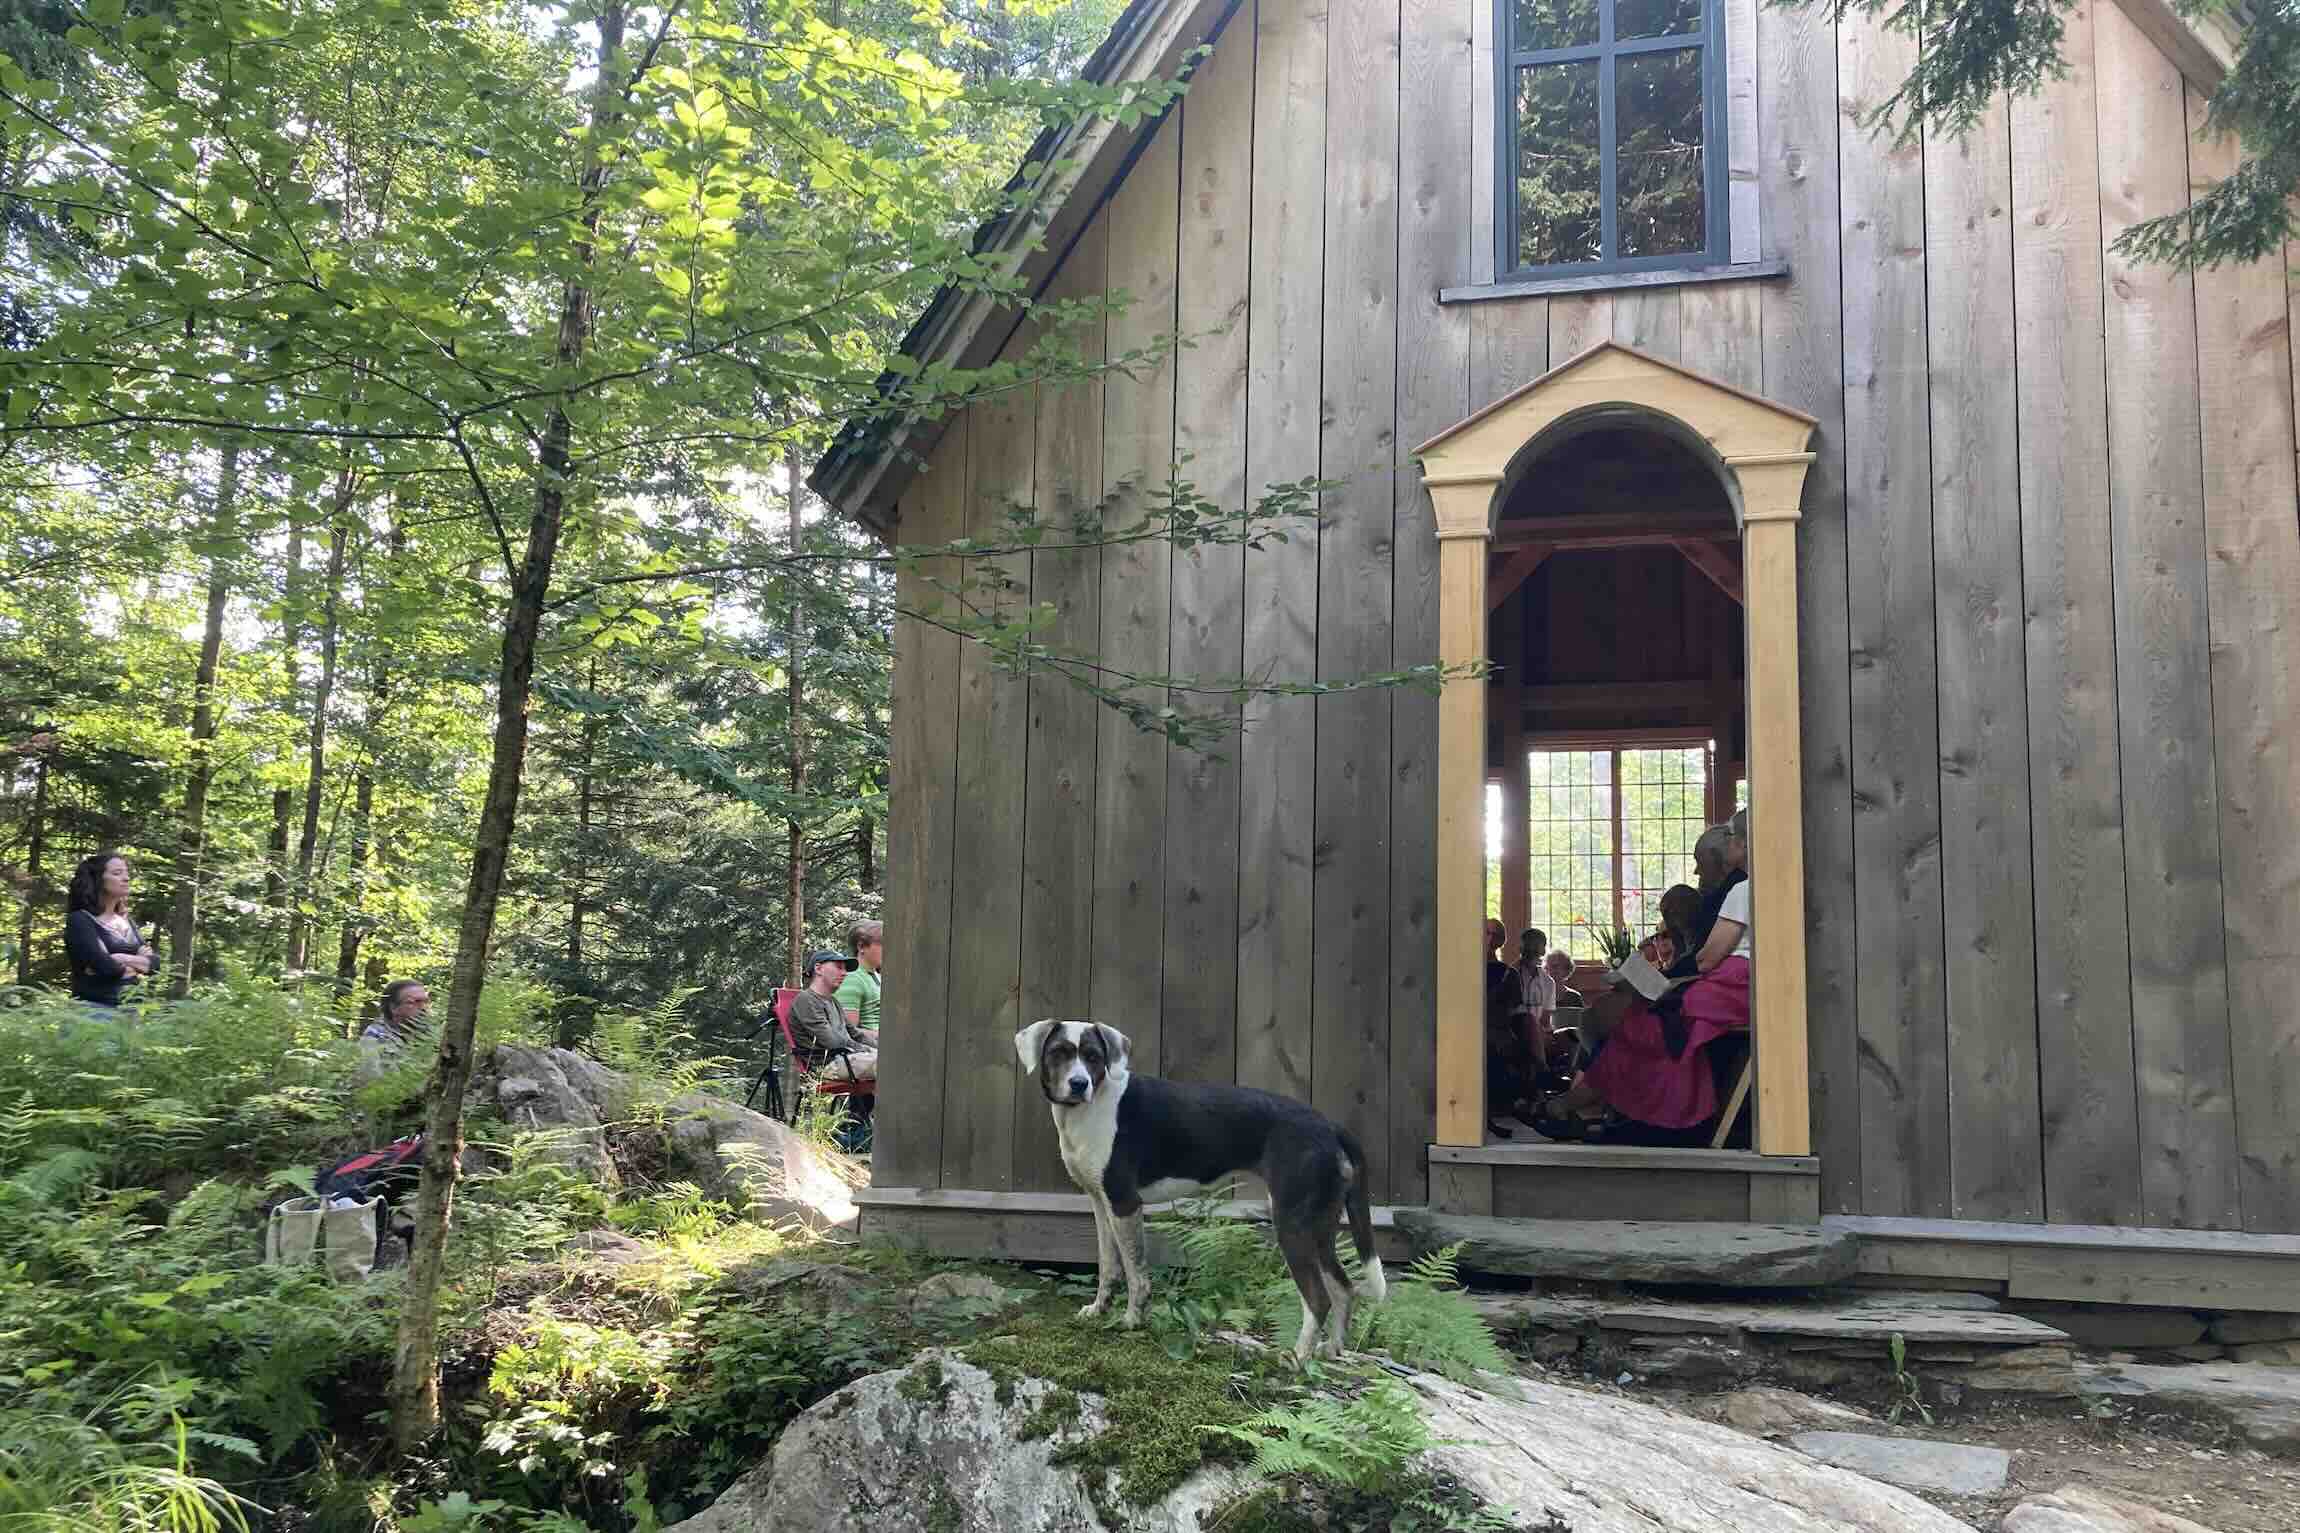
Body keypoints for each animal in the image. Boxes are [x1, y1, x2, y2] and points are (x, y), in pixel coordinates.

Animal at [1021, 1020, 1380, 1369]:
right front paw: (1098, 1311)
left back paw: (1297, 1358)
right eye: (1059, 1052)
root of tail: (1327, 1125)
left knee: (1318, 1297)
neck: (1092, 1106)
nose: (1079, 1083)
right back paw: (1331, 1349)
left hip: (1292, 1224)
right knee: (1344, 1287)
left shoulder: (1125, 1203)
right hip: (1320, 1226)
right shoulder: (1100, 1203)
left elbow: (1136, 1274)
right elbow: (1108, 1266)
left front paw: (1132, 1321)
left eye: (1094, 1056)